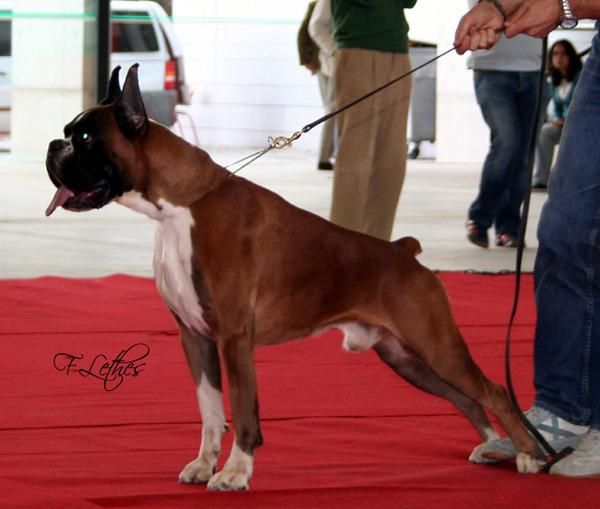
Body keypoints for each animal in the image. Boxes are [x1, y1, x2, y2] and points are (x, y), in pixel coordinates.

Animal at [45, 65, 544, 490]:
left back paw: (528, 455)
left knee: (494, 391)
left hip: (435, 344)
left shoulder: (233, 338)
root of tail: (404, 251)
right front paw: (204, 466)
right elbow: (210, 410)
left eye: (85, 138)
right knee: (467, 398)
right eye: (69, 133)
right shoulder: (194, 337)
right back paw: (492, 446)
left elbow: (242, 409)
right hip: (408, 358)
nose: (53, 145)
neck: (180, 207)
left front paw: (235, 473)